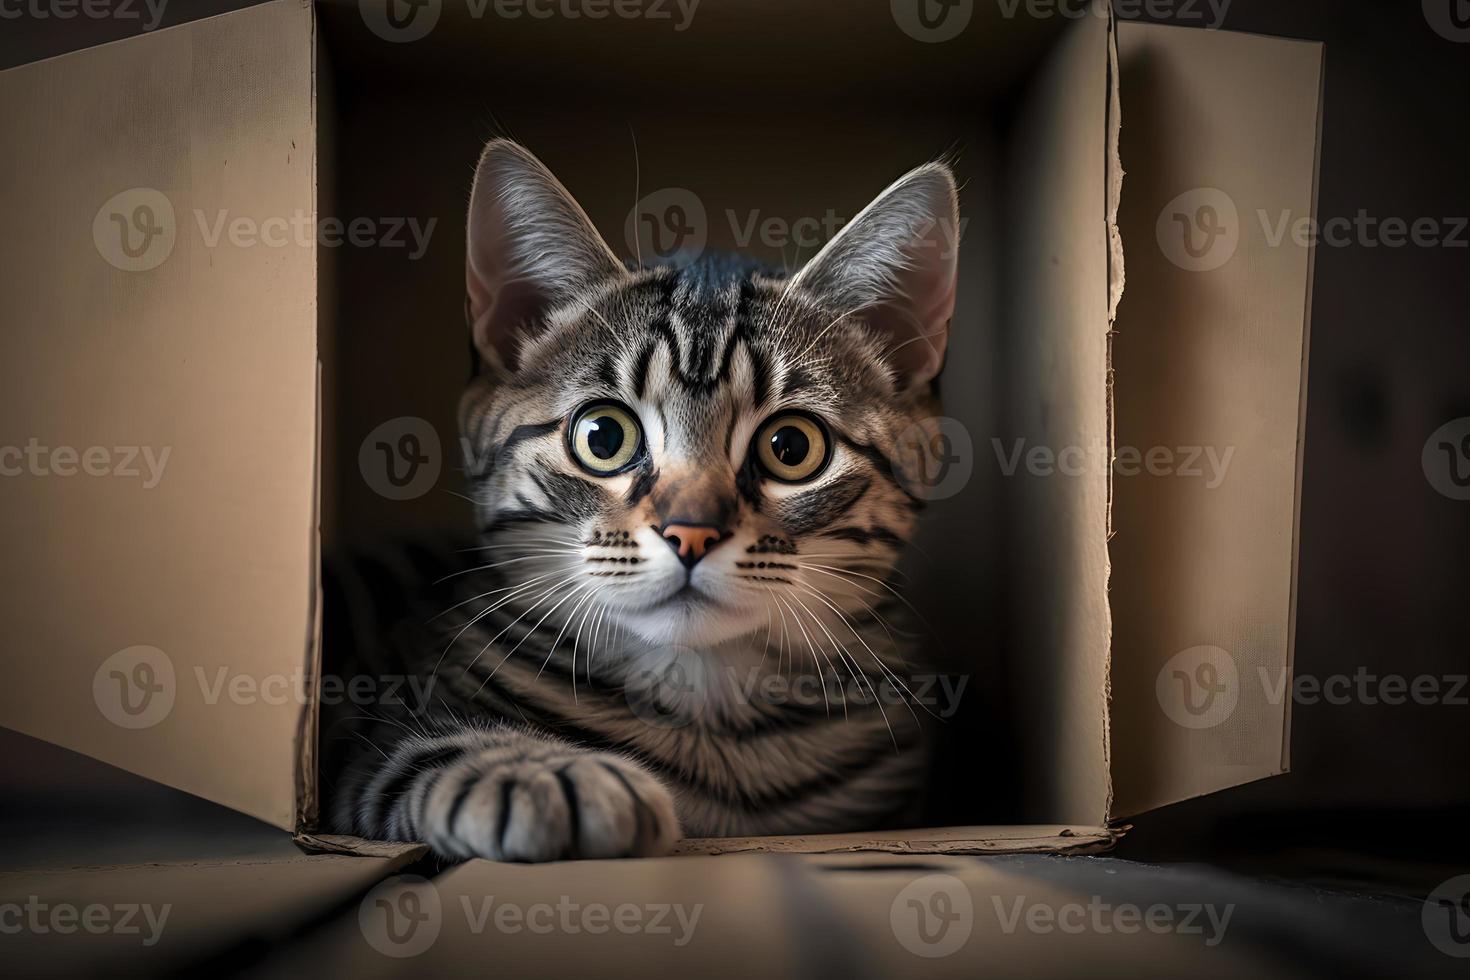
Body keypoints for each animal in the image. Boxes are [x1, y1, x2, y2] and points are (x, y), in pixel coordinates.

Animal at [323, 139, 964, 863]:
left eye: (792, 447)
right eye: (604, 436)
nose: (691, 532)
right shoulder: (369, 736)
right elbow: (422, 749)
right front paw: (542, 772)